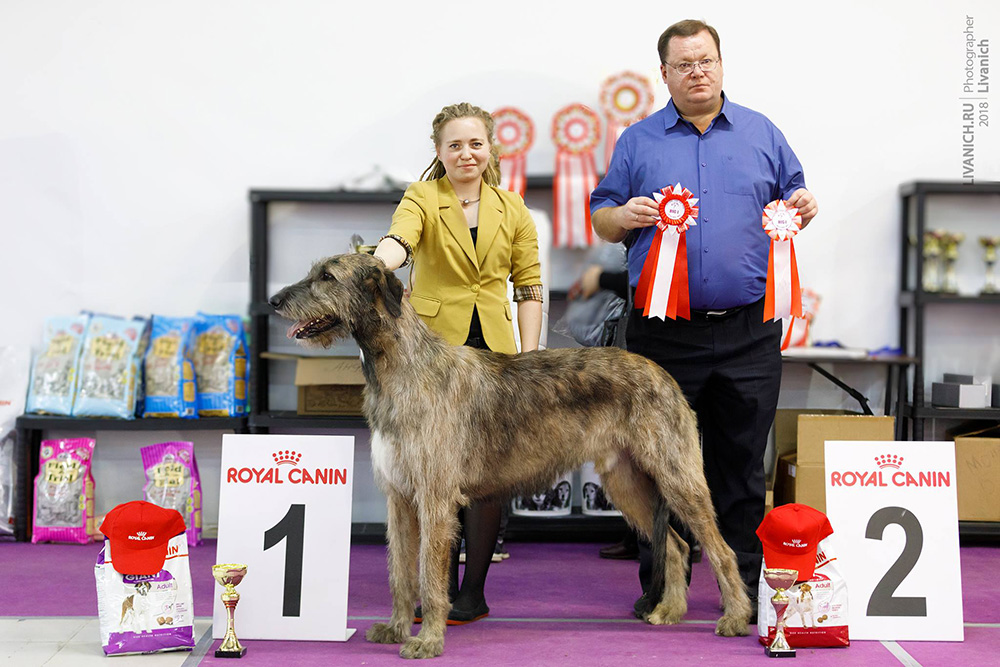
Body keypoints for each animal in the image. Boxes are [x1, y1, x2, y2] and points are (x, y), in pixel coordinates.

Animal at [270, 254, 752, 656]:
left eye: (327, 276)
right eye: (315, 271)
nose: (275, 301)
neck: (403, 365)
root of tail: (661, 372)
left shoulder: (435, 497)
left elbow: (428, 574)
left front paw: (427, 640)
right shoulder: (400, 497)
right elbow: (399, 572)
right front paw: (395, 628)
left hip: (677, 474)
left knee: (719, 549)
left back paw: (736, 617)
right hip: (627, 482)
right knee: (676, 544)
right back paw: (669, 611)